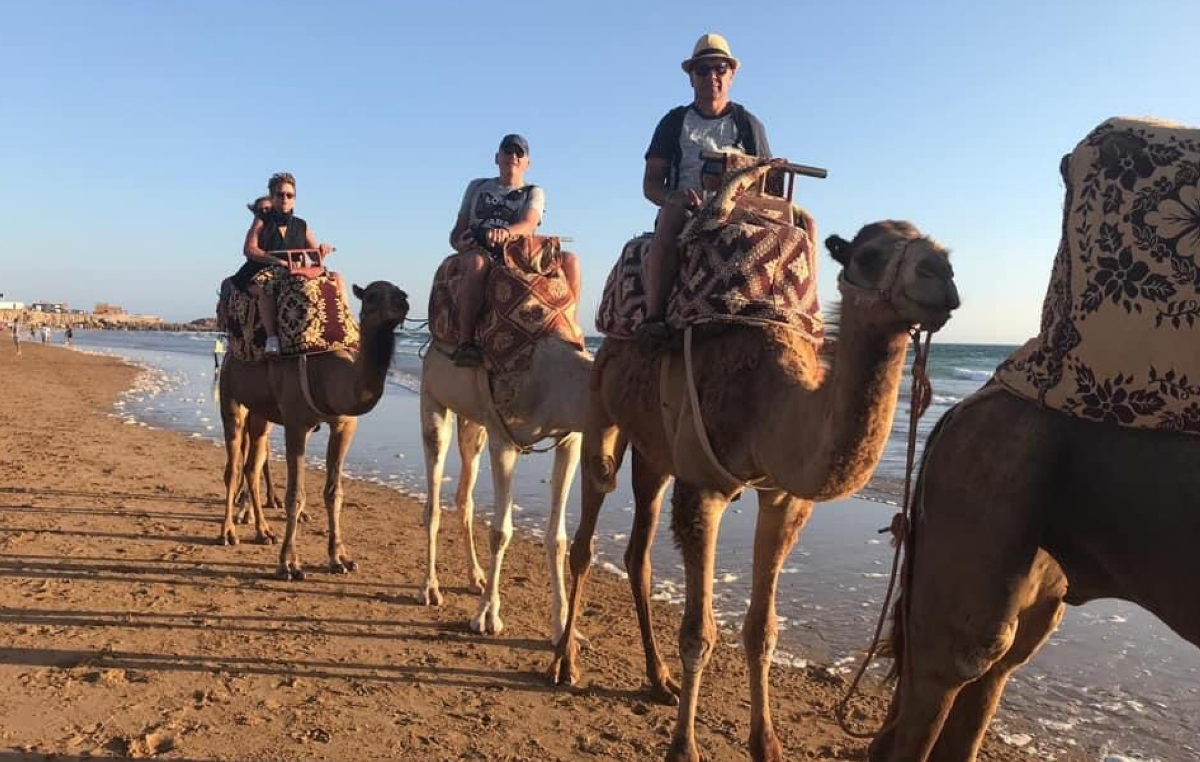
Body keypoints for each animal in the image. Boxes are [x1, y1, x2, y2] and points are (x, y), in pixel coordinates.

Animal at [222, 283, 412, 580]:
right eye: (371, 296)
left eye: (400, 290)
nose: (402, 302)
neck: (328, 374)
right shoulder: (295, 424)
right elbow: (294, 495)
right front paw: (289, 564)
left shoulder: (344, 425)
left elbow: (334, 493)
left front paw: (340, 559)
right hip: (230, 394)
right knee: (233, 467)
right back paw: (228, 533)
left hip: (261, 414)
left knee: (252, 467)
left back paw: (264, 532)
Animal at [422, 336, 590, 643]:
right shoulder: (504, 439)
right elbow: (500, 532)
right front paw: (486, 616)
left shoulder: (571, 438)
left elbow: (558, 539)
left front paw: (565, 631)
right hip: (433, 395)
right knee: (433, 500)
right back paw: (430, 588)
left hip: (474, 423)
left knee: (464, 497)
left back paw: (476, 577)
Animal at [549, 222, 960, 762]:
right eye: (869, 255)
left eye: (942, 252)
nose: (942, 276)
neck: (768, 404)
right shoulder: (702, 488)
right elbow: (698, 632)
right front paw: (683, 748)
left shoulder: (783, 498)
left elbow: (762, 630)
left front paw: (767, 743)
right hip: (602, 409)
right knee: (586, 531)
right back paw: (565, 662)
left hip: (655, 453)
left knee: (639, 553)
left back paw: (658, 679)